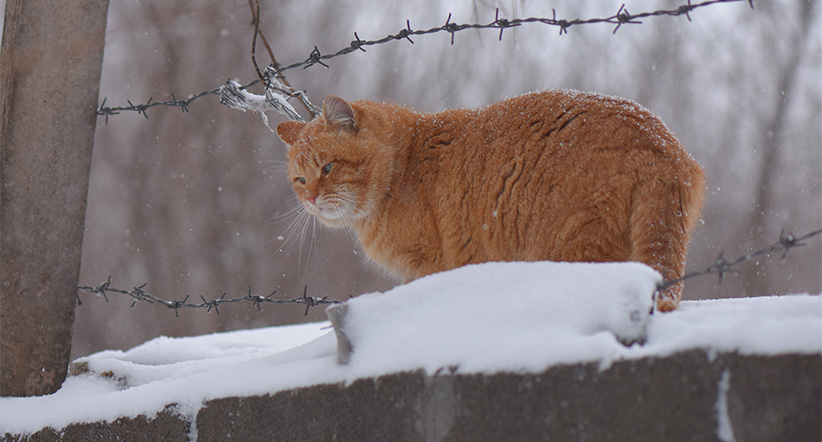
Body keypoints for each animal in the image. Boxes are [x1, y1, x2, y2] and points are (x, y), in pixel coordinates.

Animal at [278, 90, 708, 310]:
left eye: (328, 167)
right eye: (299, 179)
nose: (311, 197)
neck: (405, 165)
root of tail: (658, 143)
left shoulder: (426, 267)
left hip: (574, 247)